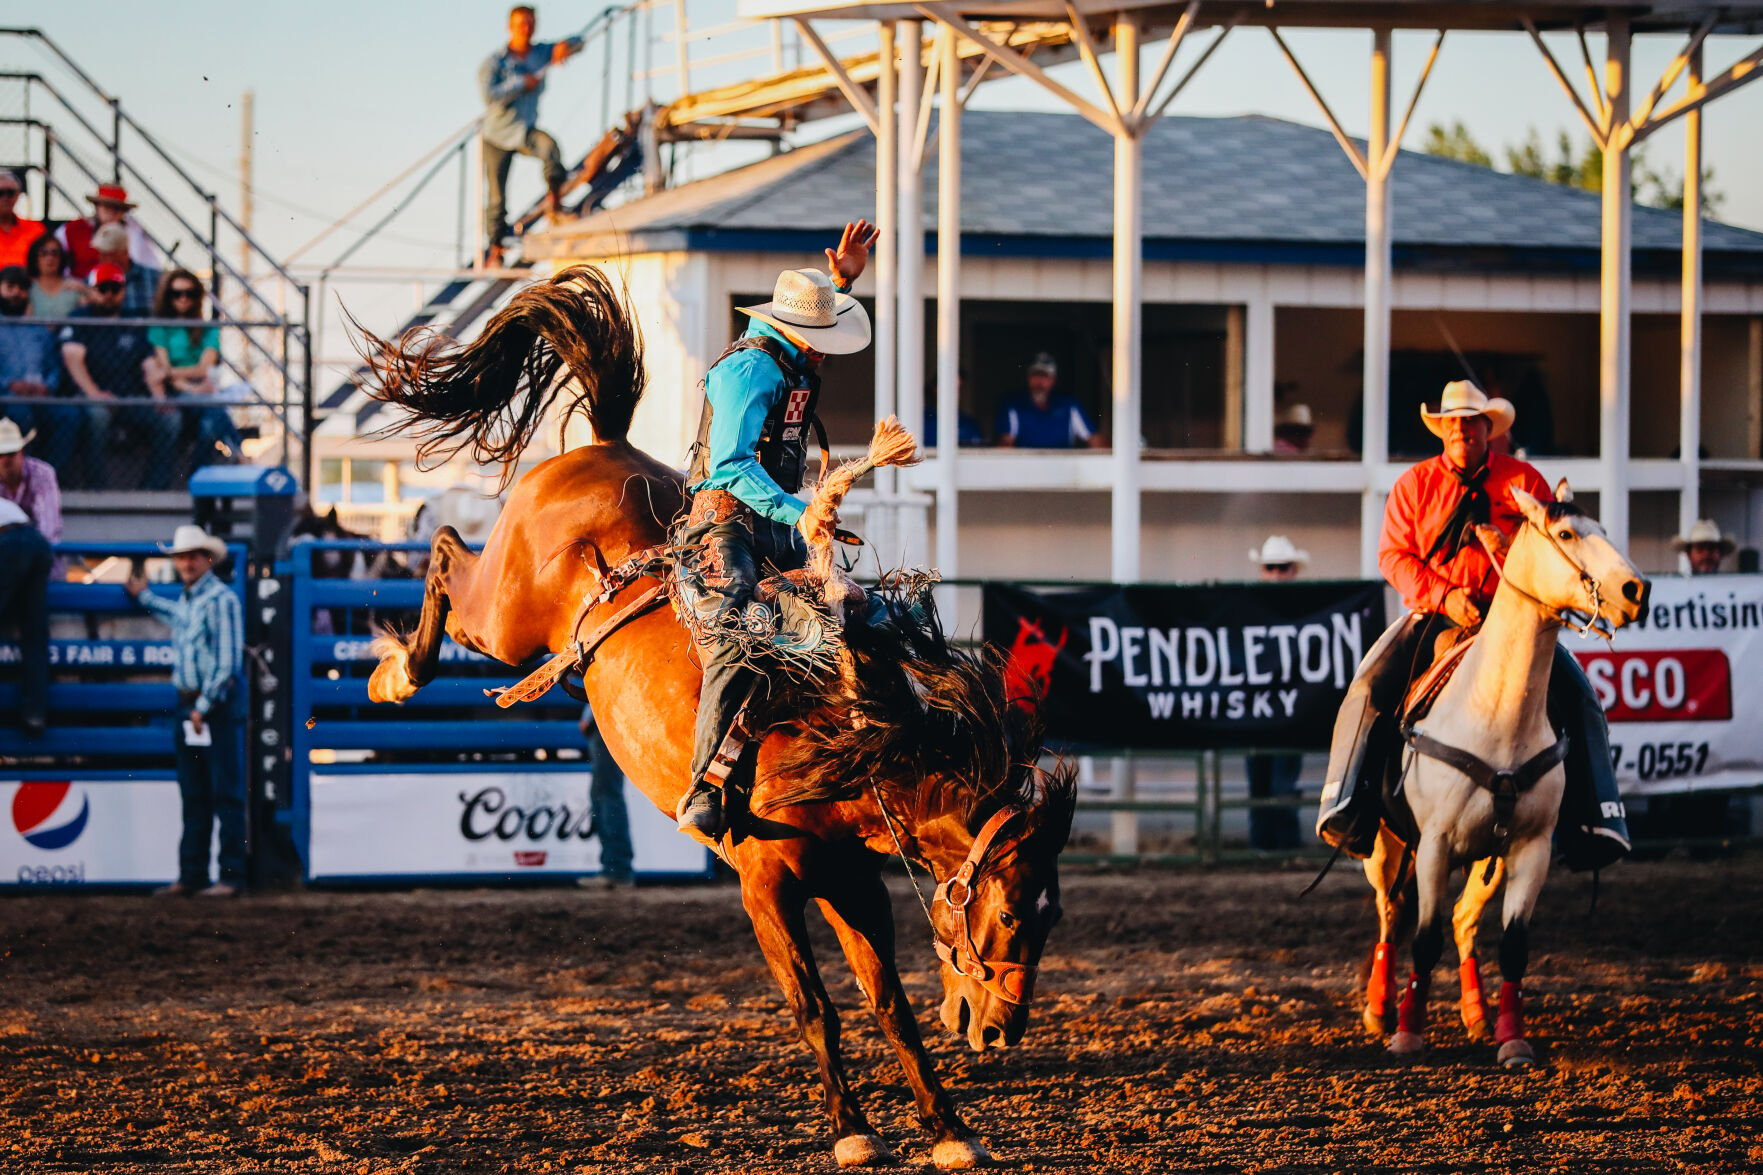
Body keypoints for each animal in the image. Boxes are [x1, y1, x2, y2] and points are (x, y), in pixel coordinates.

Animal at [354, 264, 1071, 1164]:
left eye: (1053, 914)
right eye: (1009, 910)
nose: (1001, 1031)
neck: (845, 750)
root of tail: (601, 447)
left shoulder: (853, 883)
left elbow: (888, 1004)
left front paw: (948, 1128)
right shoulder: (765, 885)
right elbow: (814, 1006)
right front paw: (851, 1131)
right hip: (504, 616)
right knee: (449, 550)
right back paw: (394, 673)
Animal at [1353, 479, 1643, 1065]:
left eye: (1602, 528)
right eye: (1565, 533)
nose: (1633, 589)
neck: (1496, 712)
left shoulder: (1531, 848)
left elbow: (1512, 945)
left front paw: (1512, 1038)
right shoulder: (1435, 844)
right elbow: (1424, 940)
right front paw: (1408, 1033)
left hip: (1487, 858)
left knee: (1463, 920)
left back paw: (1477, 1013)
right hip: (1387, 846)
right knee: (1391, 914)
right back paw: (1380, 1008)